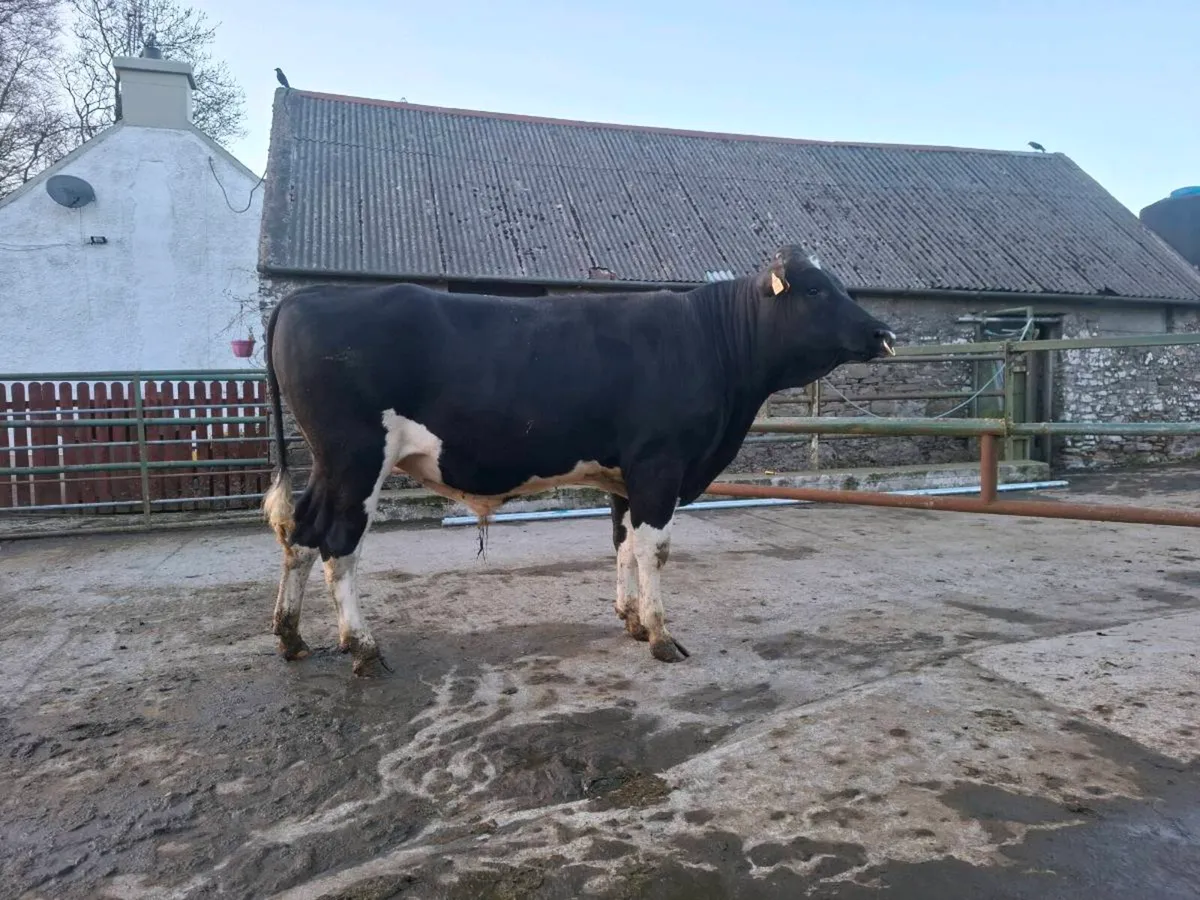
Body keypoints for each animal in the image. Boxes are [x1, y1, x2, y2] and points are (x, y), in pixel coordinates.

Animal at [261, 245, 897, 676]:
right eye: (815, 290)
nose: (882, 332)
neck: (709, 341)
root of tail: (308, 295)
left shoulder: (625, 474)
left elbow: (622, 543)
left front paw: (632, 620)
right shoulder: (660, 463)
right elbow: (654, 548)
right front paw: (662, 636)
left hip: (329, 464)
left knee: (301, 532)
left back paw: (291, 638)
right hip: (356, 458)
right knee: (339, 545)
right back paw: (363, 647)